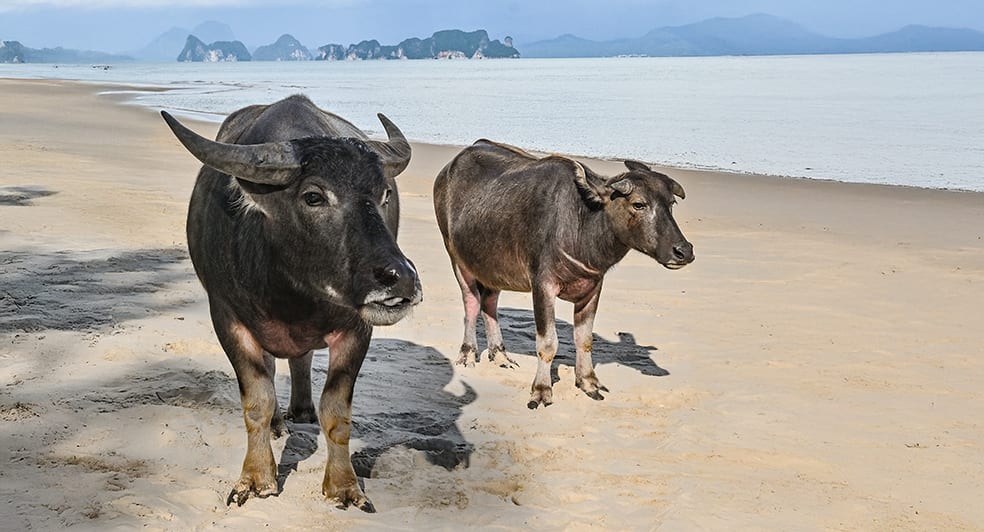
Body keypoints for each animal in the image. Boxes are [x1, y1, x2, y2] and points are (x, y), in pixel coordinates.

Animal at [162, 95, 421, 510]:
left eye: (385, 195)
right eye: (313, 196)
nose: (401, 277)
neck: (292, 295)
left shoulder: (357, 329)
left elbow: (337, 410)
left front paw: (344, 486)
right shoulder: (228, 319)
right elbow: (257, 400)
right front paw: (255, 478)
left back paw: (301, 410)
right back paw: (279, 424)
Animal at [434, 140, 693, 409]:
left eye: (670, 204)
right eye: (639, 204)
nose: (683, 251)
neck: (582, 225)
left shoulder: (593, 287)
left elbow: (585, 339)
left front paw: (588, 382)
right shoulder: (543, 286)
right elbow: (548, 342)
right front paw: (541, 390)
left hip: (493, 267)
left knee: (489, 302)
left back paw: (501, 355)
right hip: (457, 258)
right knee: (472, 302)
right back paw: (467, 353)